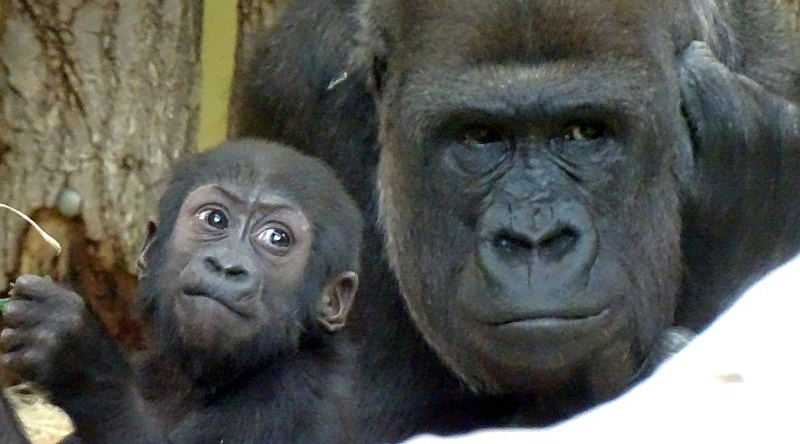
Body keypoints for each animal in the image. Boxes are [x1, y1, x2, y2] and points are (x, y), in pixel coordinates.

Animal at [0, 140, 362, 444]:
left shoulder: (293, 392)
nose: (226, 266)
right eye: (214, 219)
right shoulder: (150, 372)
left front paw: (80, 356)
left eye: (277, 238)